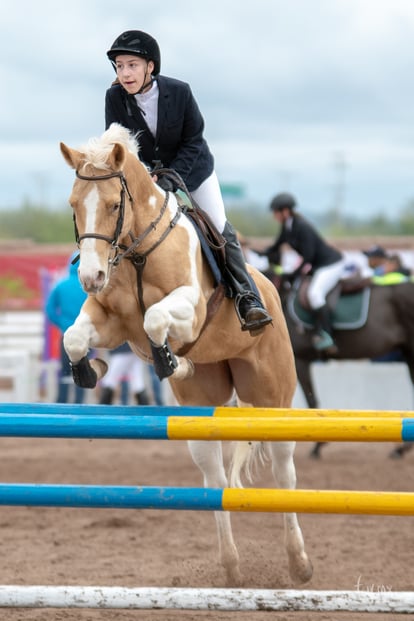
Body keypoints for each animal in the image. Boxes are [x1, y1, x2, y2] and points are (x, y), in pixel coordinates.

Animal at [57, 124, 310, 588]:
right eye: (73, 205)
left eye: (114, 204)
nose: (90, 277)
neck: (136, 251)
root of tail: (270, 288)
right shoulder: (108, 320)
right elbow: (74, 338)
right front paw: (90, 369)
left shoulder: (190, 312)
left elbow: (155, 317)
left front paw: (168, 360)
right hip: (200, 411)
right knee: (214, 480)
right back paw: (231, 568)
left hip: (272, 397)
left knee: (284, 473)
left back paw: (299, 563)